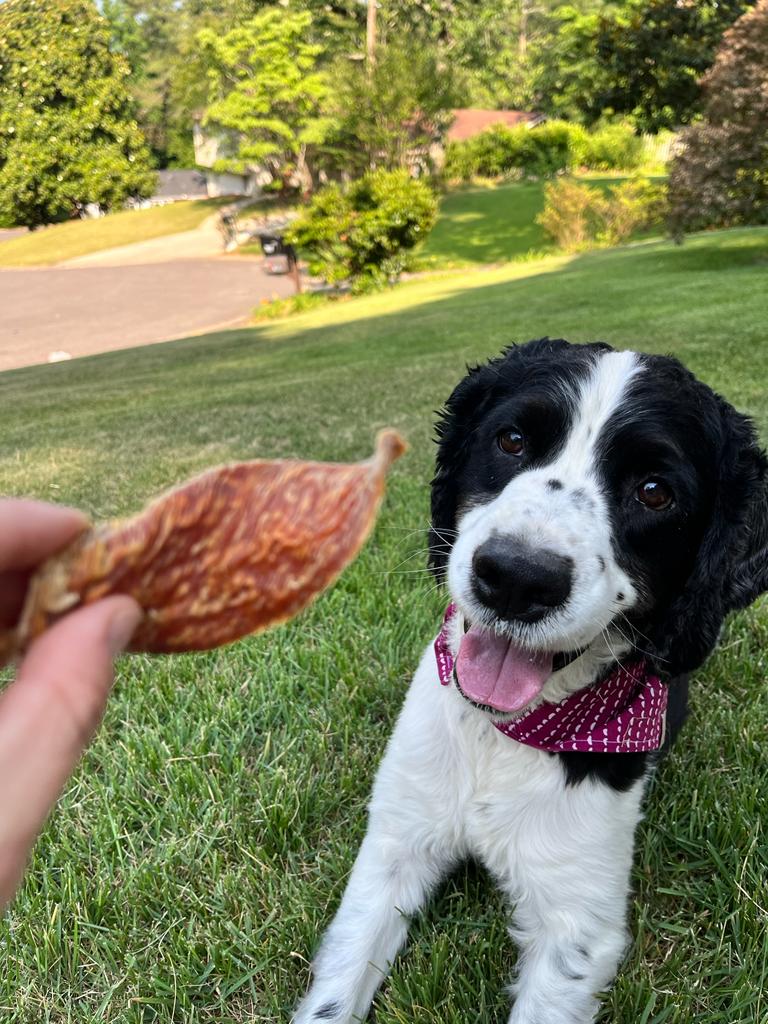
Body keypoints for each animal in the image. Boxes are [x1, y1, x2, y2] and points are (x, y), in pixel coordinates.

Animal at [296, 339, 768, 1019]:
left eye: (655, 492)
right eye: (512, 440)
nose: (518, 577)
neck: (505, 733)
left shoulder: (578, 918)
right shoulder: (395, 840)